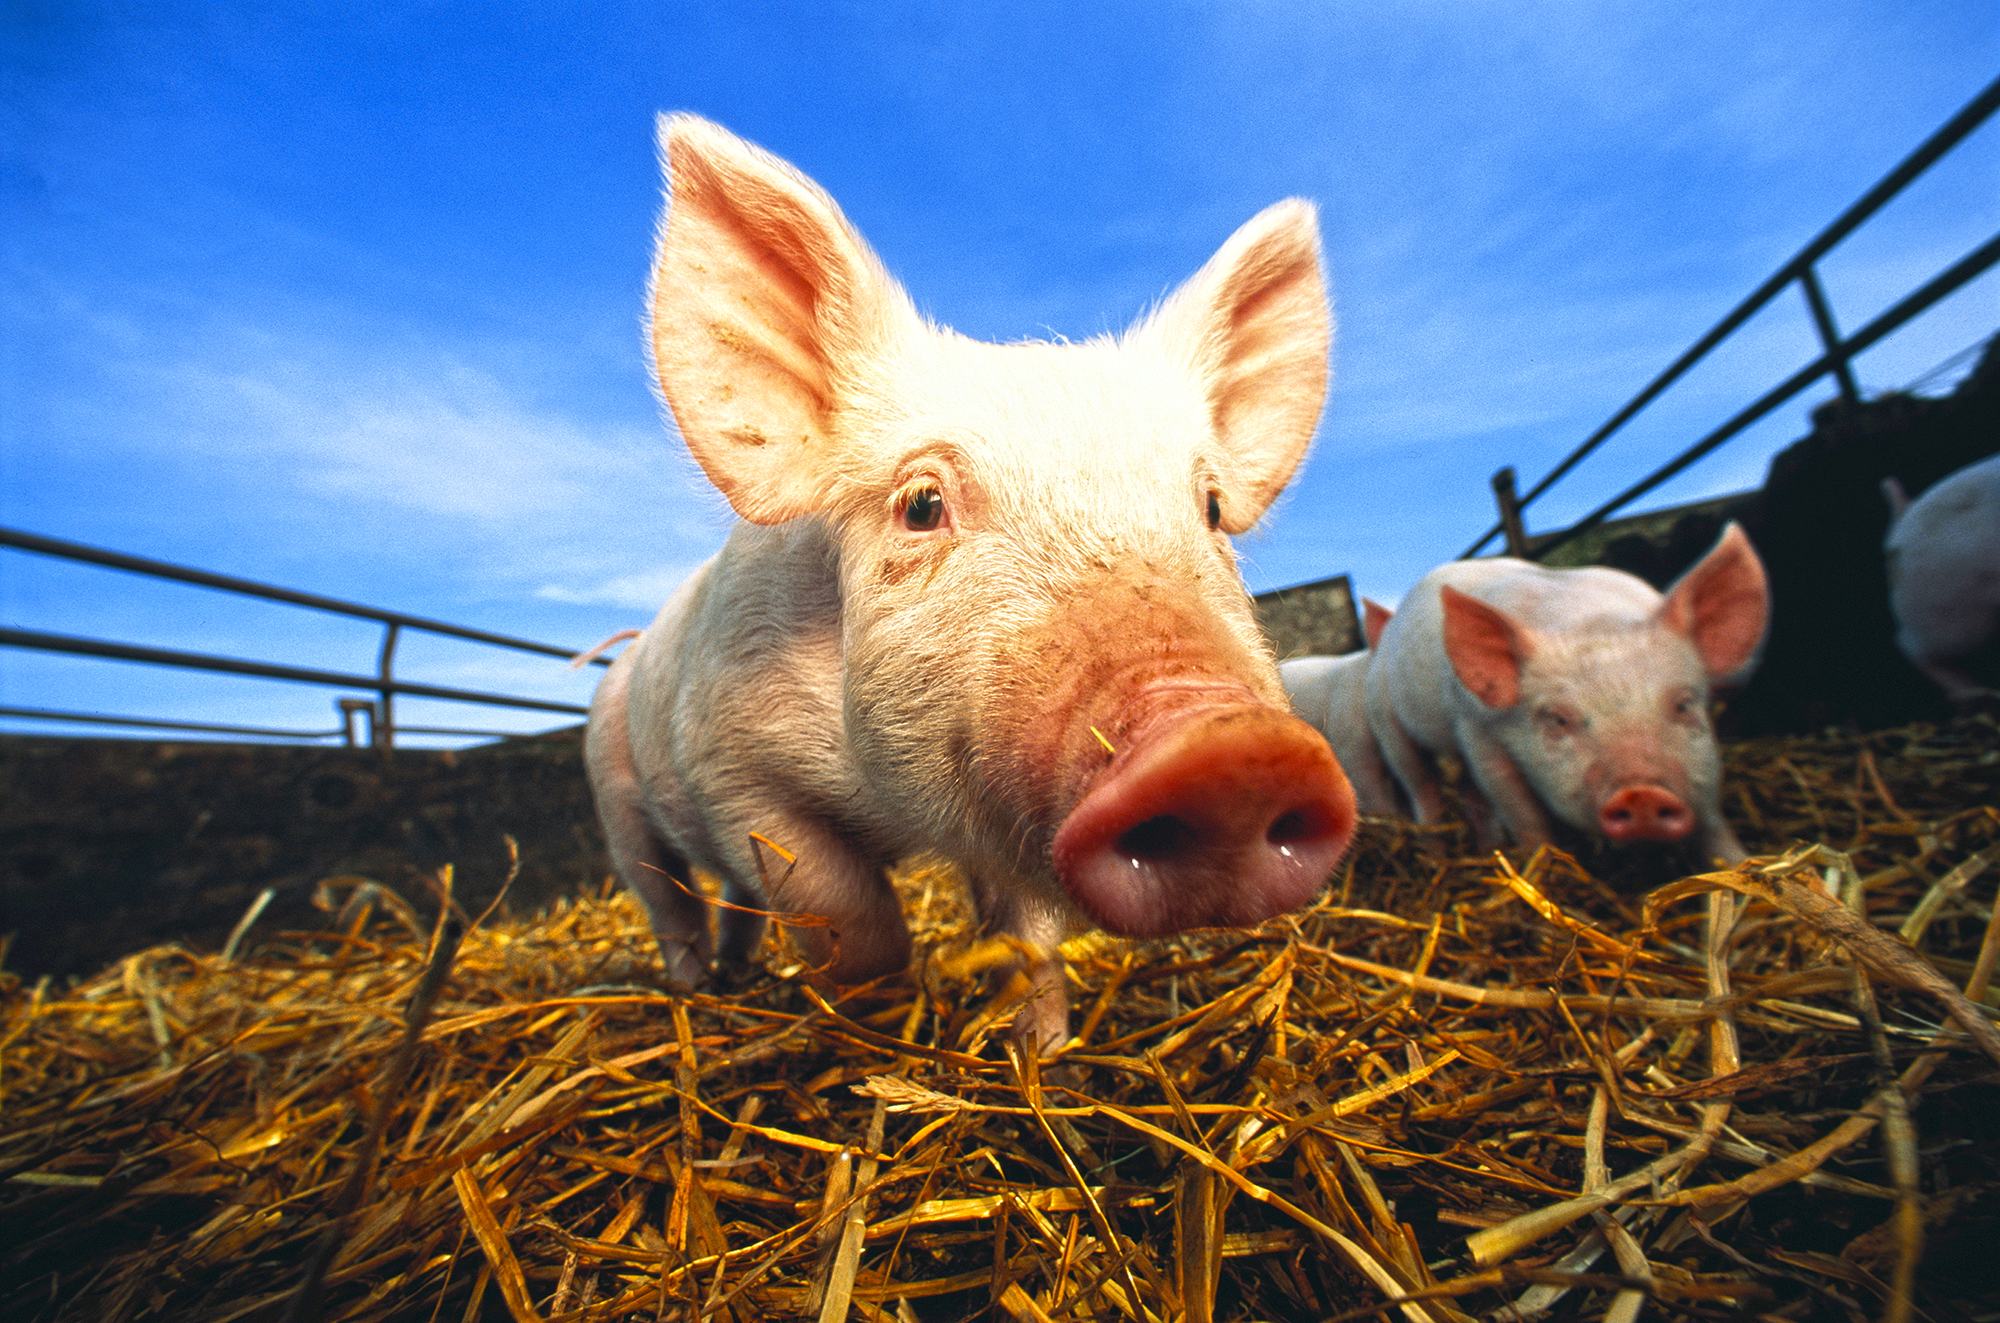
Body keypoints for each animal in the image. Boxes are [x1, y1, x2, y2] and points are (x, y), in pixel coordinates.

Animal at [585, 114, 1357, 1053]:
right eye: (922, 504)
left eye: (1209, 506)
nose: (1230, 745)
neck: (896, 815)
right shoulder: (731, 763)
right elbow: (849, 916)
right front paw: (877, 1011)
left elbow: (1030, 940)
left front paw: (1041, 1050)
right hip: (614, 797)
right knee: (669, 900)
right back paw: (698, 988)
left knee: (729, 901)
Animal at [1363, 525, 1768, 863]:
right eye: (1559, 719)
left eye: (1683, 704)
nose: (1642, 793)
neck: (1588, 621)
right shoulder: (1475, 729)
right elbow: (1521, 813)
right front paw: (1541, 870)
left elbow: (1711, 819)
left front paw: (1740, 865)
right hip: (1386, 720)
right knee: (1422, 789)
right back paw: (1435, 854)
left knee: (1467, 793)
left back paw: (1487, 849)